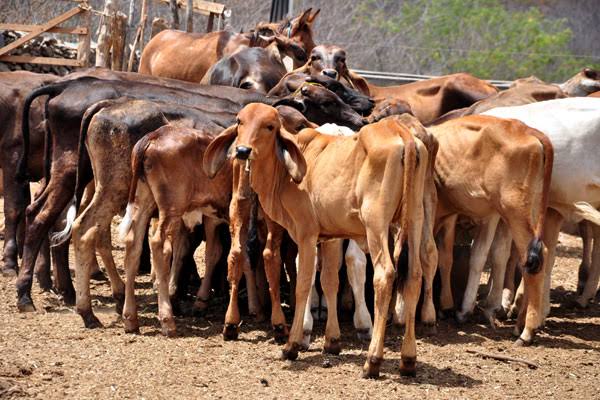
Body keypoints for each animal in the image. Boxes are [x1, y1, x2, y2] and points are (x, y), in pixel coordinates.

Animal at [204, 103, 428, 378]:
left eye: (270, 126)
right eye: (239, 121)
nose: (243, 151)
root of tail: (401, 133)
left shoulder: (306, 234)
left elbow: (302, 284)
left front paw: (293, 344)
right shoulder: (331, 236)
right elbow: (329, 280)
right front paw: (332, 341)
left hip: (376, 224)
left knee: (384, 274)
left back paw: (373, 360)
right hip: (415, 219)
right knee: (415, 276)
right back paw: (408, 359)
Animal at [426, 114, 552, 346]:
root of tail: (525, 129)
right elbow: (463, 256)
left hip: (515, 211)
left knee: (537, 257)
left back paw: (527, 331)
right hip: (529, 209)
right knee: (530, 260)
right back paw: (518, 323)